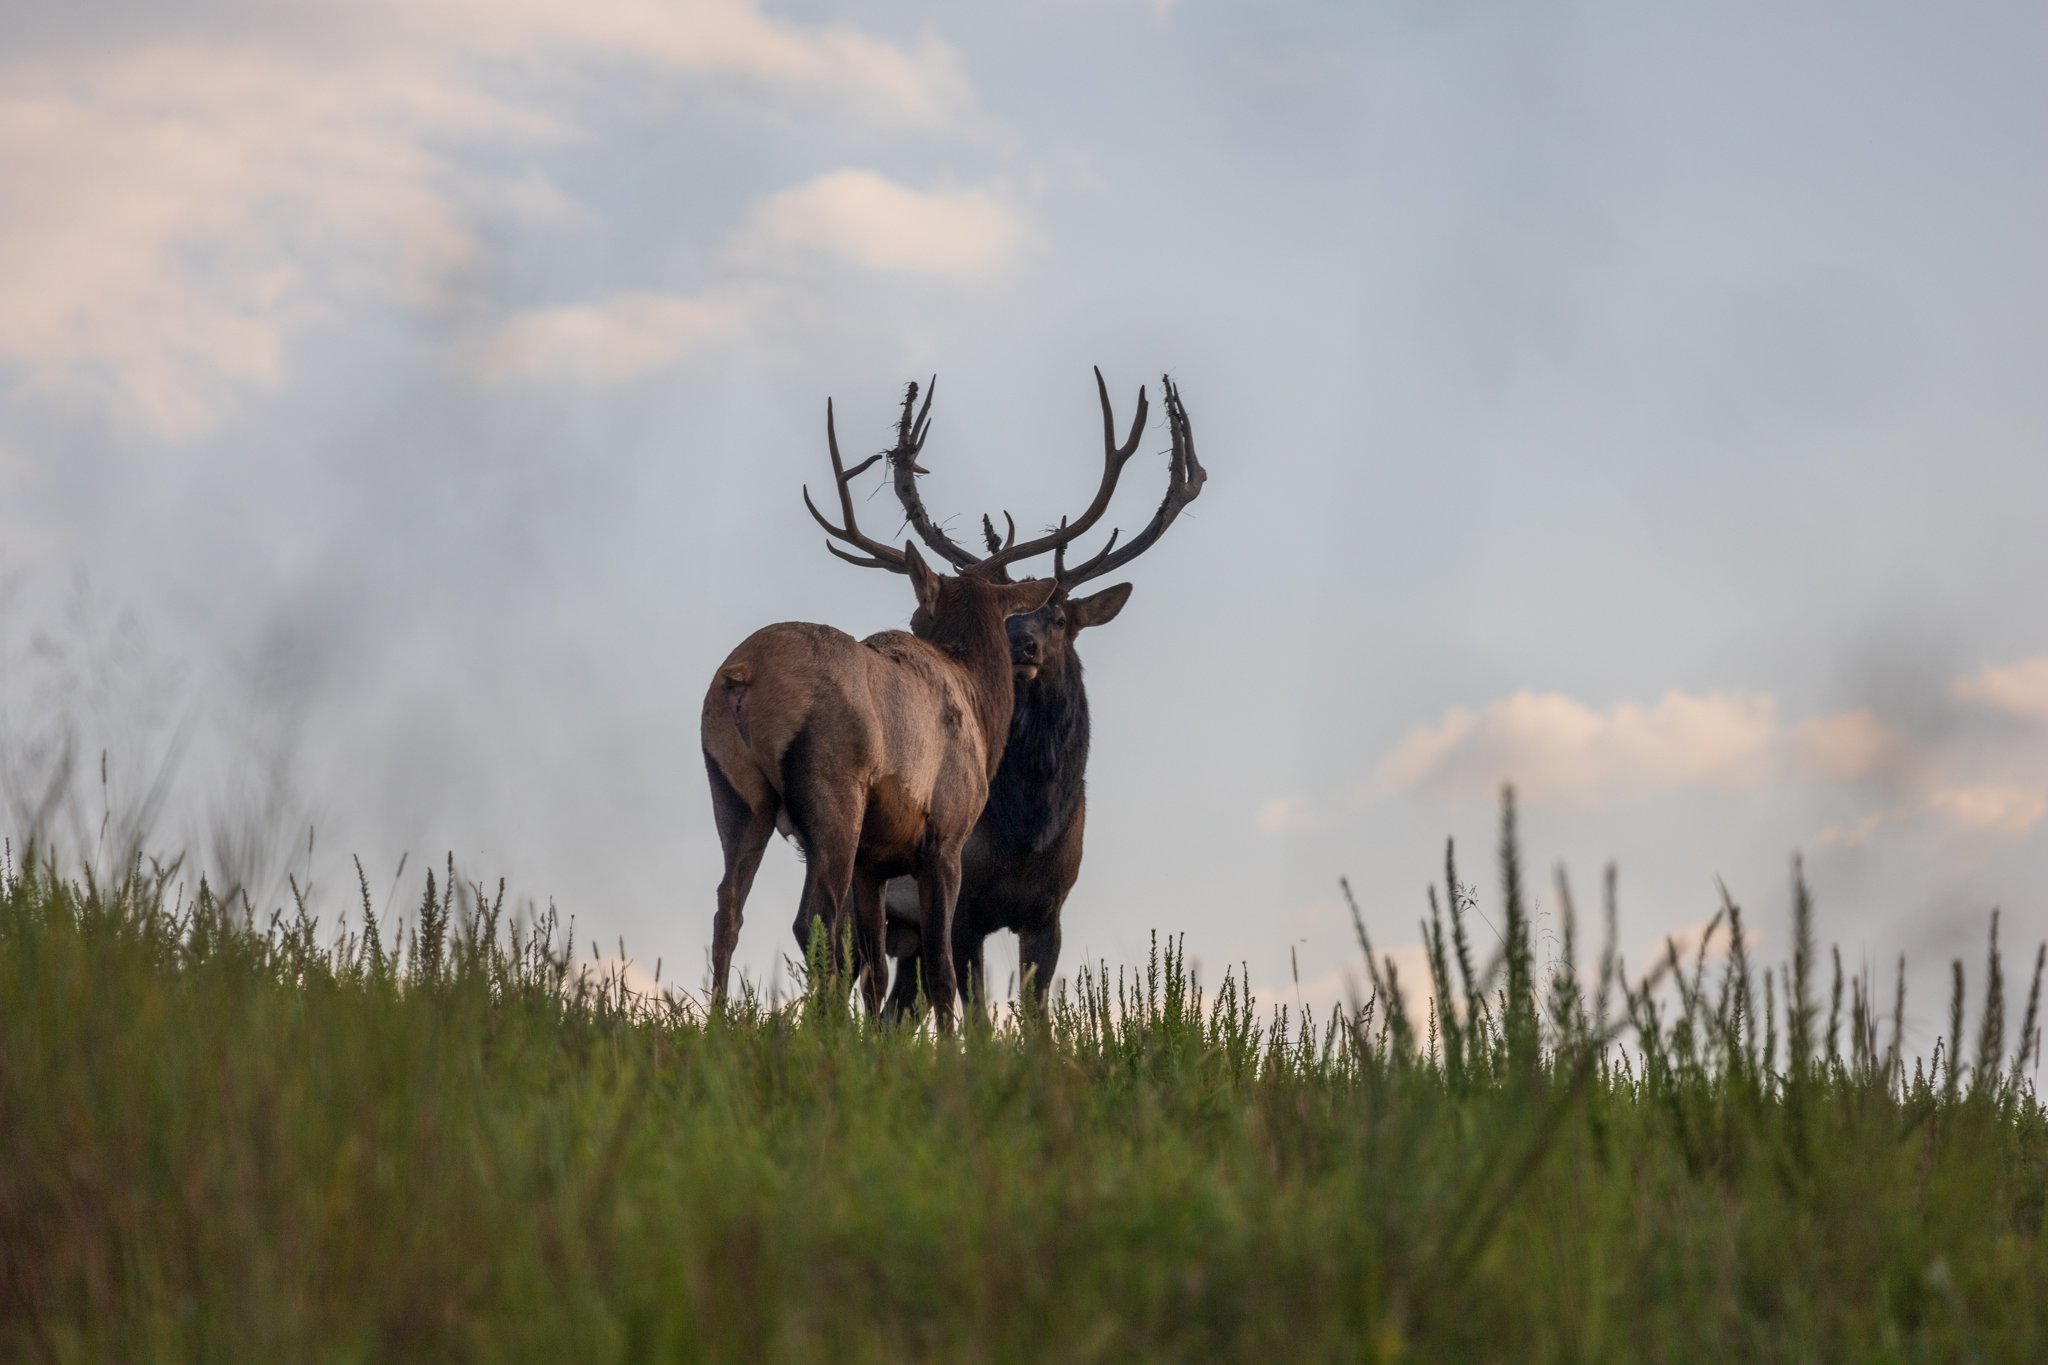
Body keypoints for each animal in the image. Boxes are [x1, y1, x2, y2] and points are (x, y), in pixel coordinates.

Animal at [699, 383, 1054, 1027]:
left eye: (917, 614)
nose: (1027, 650)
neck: (980, 710)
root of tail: (743, 678)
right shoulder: (945, 839)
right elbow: (940, 973)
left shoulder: (875, 862)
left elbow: (878, 974)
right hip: (832, 792)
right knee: (811, 922)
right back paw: (822, 1033)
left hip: (735, 793)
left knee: (728, 910)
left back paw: (717, 1026)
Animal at [829, 369, 1208, 1018]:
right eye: (1006, 618)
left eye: (1059, 618)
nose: (1021, 647)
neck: (1027, 831)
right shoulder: (963, 907)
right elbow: (976, 1011)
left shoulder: (1048, 908)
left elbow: (1036, 1017)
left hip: (904, 931)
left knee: (895, 1009)